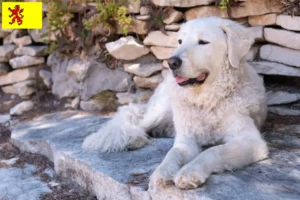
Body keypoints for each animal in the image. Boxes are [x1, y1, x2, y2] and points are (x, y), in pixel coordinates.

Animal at [82, 16, 270, 189]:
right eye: (180, 41)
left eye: (203, 42)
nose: (172, 62)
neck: (206, 101)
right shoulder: (186, 141)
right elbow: (173, 153)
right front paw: (162, 172)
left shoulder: (251, 141)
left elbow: (213, 151)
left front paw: (189, 172)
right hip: (160, 110)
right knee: (134, 123)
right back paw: (133, 139)